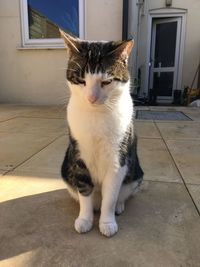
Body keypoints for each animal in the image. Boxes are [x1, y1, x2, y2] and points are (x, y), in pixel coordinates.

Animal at [59, 29, 144, 239]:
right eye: (81, 80)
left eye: (106, 81)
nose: (91, 97)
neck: (96, 116)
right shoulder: (79, 157)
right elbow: (84, 191)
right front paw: (85, 219)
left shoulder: (118, 159)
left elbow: (110, 197)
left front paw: (107, 222)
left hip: (136, 174)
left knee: (122, 194)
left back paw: (119, 206)